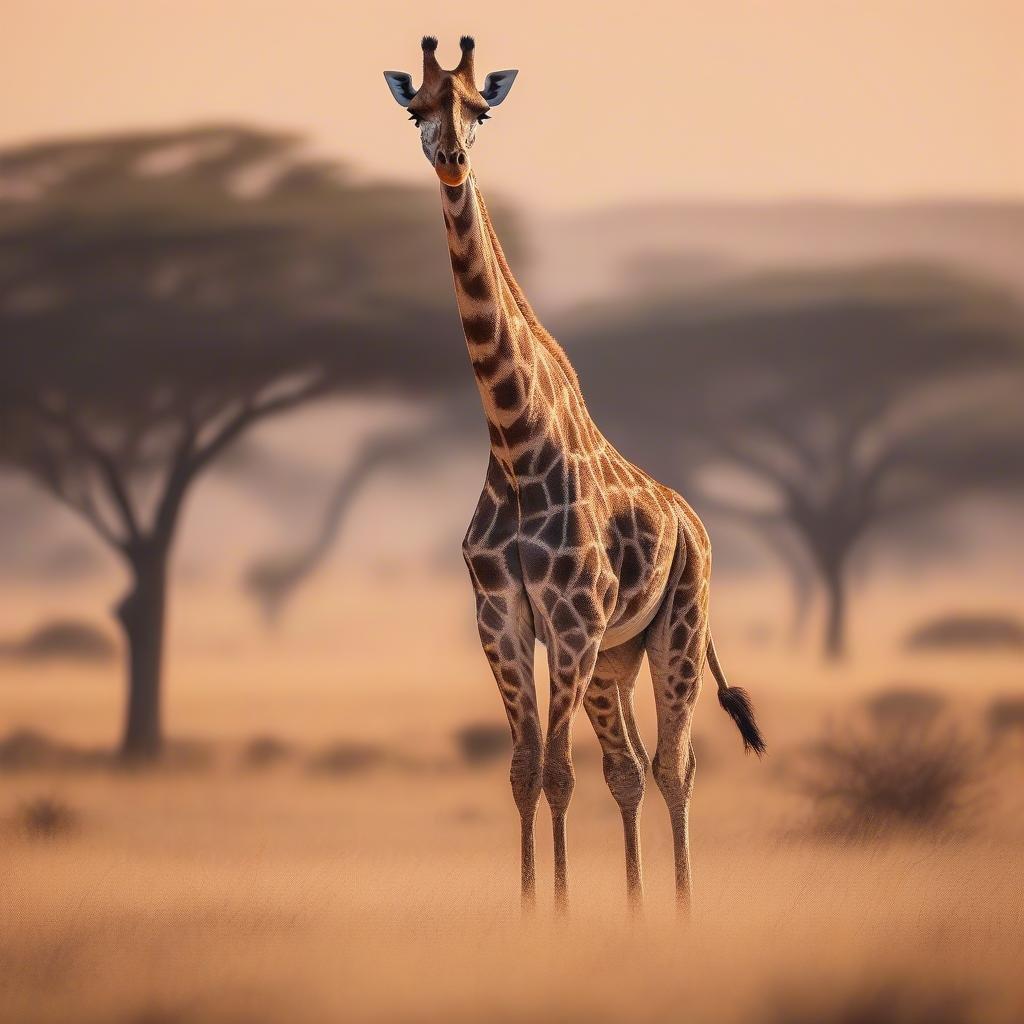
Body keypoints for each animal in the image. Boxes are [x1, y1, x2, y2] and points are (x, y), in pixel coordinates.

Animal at [385, 36, 761, 917]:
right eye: (417, 109)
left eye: (480, 110)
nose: (452, 160)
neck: (515, 442)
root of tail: (694, 521)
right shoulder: (501, 620)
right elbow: (526, 771)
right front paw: (534, 912)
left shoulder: (571, 622)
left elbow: (559, 773)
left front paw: (557, 914)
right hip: (612, 662)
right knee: (629, 769)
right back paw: (636, 907)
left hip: (676, 628)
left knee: (674, 766)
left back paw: (683, 911)